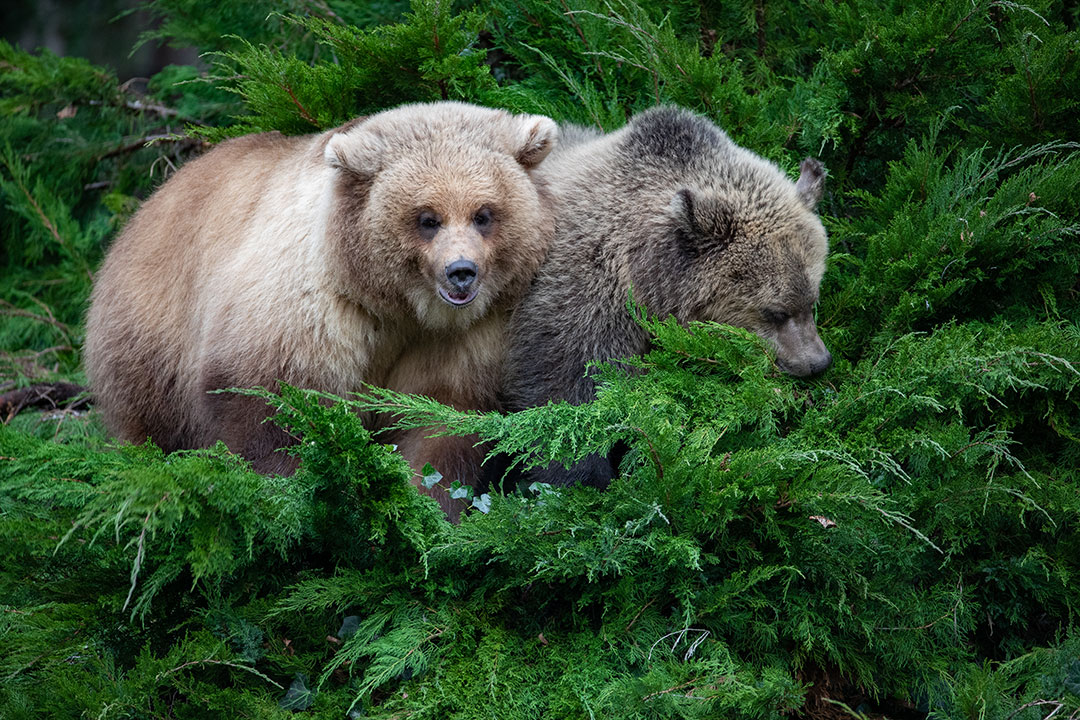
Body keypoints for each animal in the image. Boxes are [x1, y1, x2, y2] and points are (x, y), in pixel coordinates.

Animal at [84, 101, 559, 518]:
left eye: (484, 213)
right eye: (427, 218)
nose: (461, 272)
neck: (398, 306)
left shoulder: (467, 337)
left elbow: (440, 422)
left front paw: (427, 500)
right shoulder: (311, 313)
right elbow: (279, 411)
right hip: (154, 330)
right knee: (150, 421)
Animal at [500, 106, 831, 488]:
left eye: (812, 300)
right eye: (775, 311)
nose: (818, 362)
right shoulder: (578, 297)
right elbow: (563, 390)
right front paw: (580, 475)